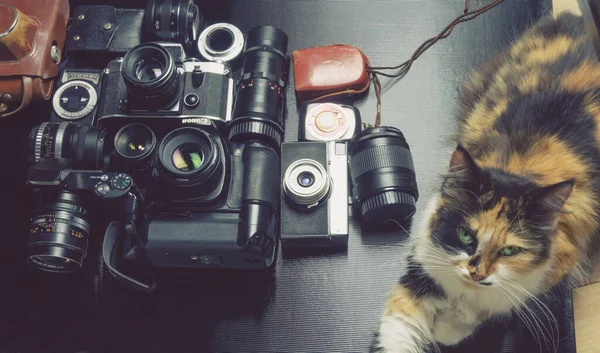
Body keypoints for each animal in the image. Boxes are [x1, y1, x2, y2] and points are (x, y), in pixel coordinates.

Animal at [370, 11, 600, 352]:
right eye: (465, 235)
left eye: (510, 251)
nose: (476, 272)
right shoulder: (419, 274)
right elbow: (398, 333)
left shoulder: (550, 270)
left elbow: (482, 309)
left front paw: (446, 327)